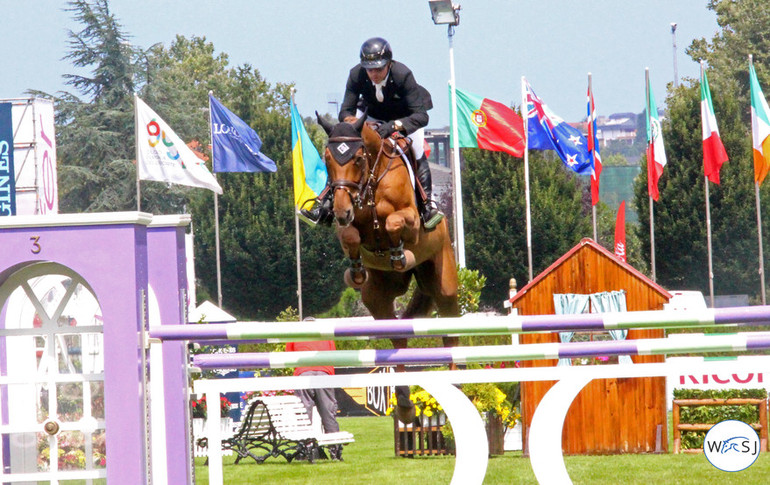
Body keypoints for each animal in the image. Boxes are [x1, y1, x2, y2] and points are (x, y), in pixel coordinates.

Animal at [316, 112, 460, 420]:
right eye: (327, 158)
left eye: (358, 158)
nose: (341, 211)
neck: (372, 181)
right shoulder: (347, 227)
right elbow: (350, 235)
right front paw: (356, 269)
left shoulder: (411, 222)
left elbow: (394, 221)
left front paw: (398, 253)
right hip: (380, 293)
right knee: (398, 337)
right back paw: (404, 403)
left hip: (444, 282)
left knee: (450, 335)